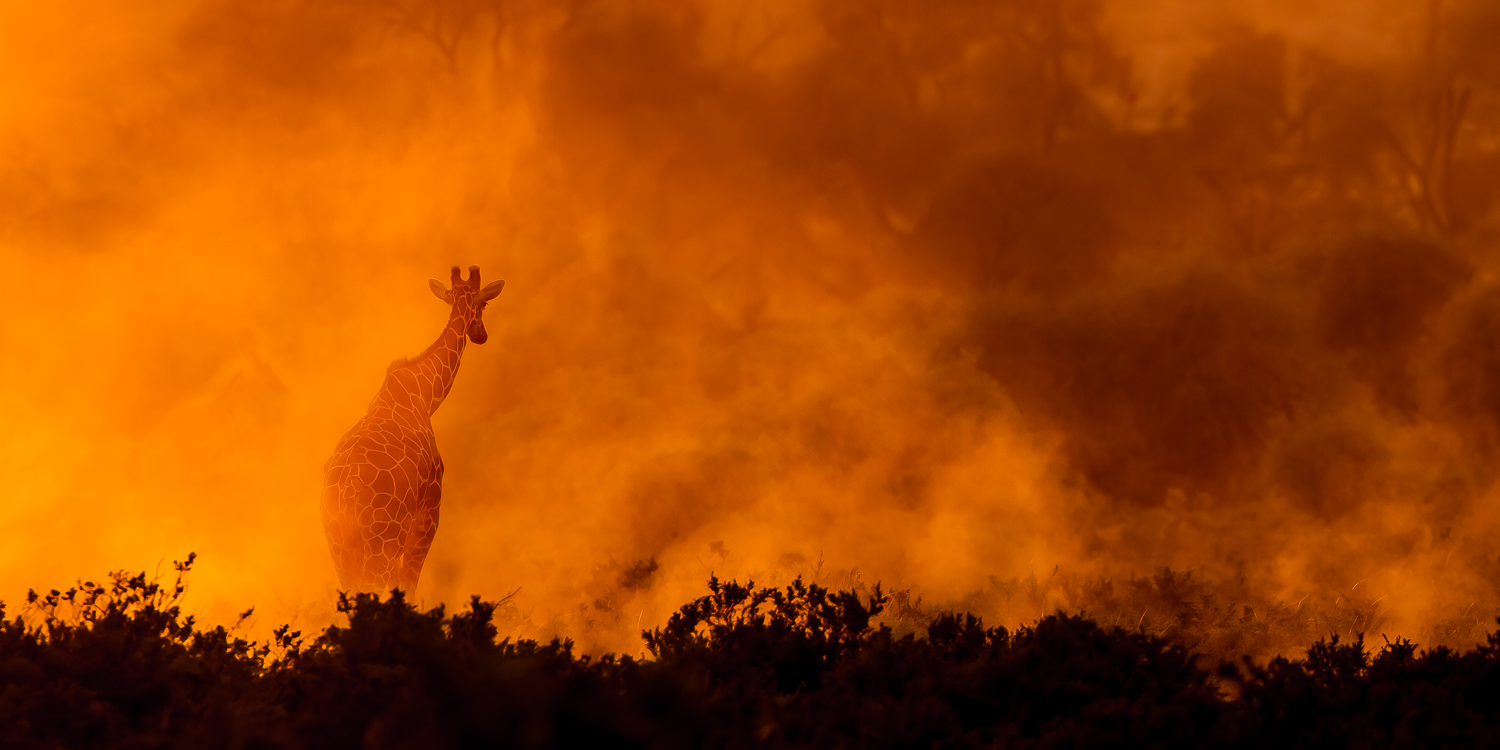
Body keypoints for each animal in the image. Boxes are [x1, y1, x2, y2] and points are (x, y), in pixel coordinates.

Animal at [319, 265, 507, 591]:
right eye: (484, 303)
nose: (481, 335)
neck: (426, 397)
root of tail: (346, 487)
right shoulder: (430, 511)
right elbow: (410, 584)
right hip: (383, 540)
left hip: (339, 546)